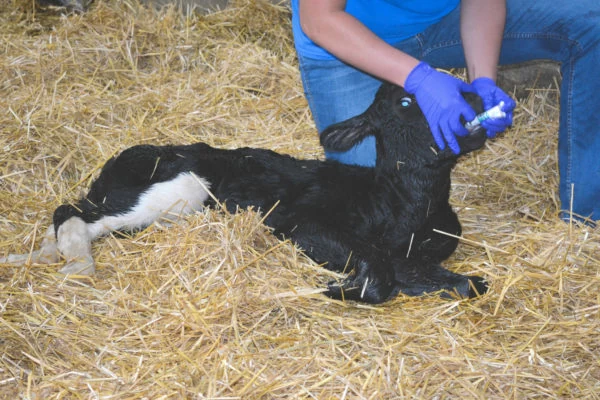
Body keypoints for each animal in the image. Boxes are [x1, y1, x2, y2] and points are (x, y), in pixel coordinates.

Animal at [2, 84, 490, 304]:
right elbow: (382, 273)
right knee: (71, 212)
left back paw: (36, 258)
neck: (401, 206)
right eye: (407, 102)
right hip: (174, 189)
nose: (475, 103)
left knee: (73, 218)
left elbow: (462, 281)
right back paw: (76, 265)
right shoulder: (302, 222)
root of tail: (122, 159)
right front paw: (341, 288)